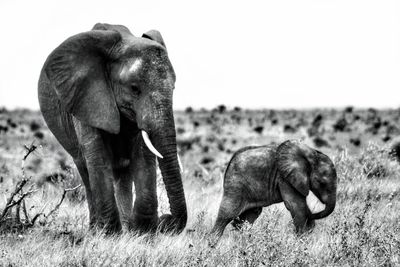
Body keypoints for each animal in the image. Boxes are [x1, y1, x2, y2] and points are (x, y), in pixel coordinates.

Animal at [37, 24, 188, 236]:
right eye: (134, 88)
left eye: (173, 87)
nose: (166, 220)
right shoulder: (87, 98)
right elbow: (98, 156)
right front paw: (109, 235)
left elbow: (143, 155)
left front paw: (142, 233)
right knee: (85, 169)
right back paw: (96, 229)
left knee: (122, 175)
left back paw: (126, 227)